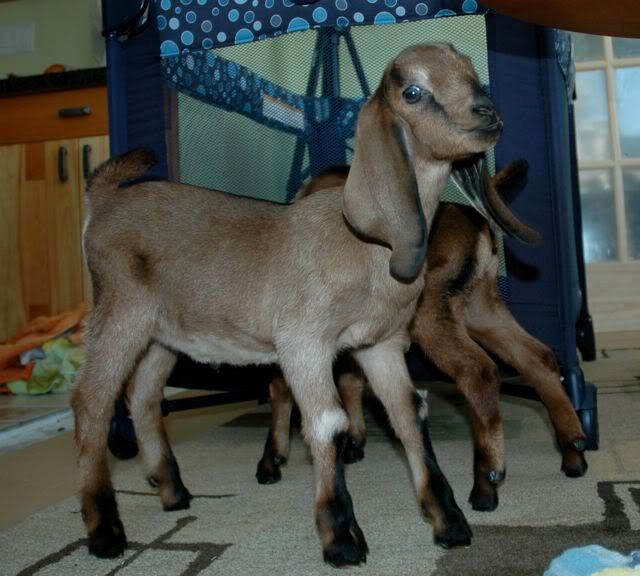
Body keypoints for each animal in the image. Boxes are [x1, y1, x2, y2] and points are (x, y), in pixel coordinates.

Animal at [72, 43, 505, 566]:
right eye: (413, 92)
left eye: (470, 71)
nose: (487, 113)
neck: (367, 245)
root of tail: (104, 202)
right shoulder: (304, 342)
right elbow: (328, 425)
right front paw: (341, 539)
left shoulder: (379, 345)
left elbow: (408, 416)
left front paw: (450, 523)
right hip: (120, 311)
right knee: (92, 403)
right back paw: (104, 529)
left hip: (164, 332)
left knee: (143, 396)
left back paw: (172, 491)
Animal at [256, 162, 588, 512]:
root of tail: (470, 217)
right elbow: (350, 379)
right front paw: (354, 442)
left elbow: (281, 386)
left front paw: (272, 460)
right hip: (482, 309)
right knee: (538, 359)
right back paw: (573, 450)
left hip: (431, 316)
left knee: (479, 373)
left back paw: (486, 481)